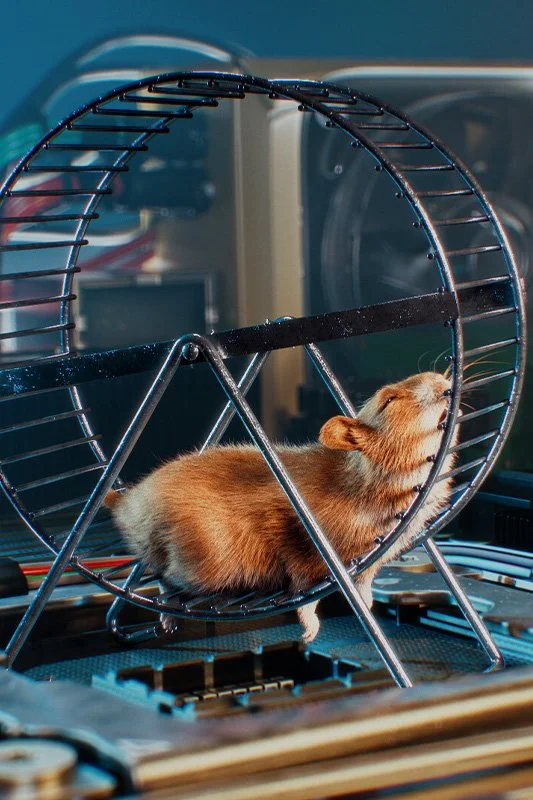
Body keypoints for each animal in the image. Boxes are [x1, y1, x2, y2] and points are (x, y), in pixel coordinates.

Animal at [105, 371, 457, 642]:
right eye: (389, 401)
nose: (441, 379)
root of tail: (128, 502)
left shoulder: (371, 559)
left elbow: (365, 582)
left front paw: (368, 603)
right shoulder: (303, 547)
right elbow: (305, 593)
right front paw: (310, 631)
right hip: (202, 564)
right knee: (164, 578)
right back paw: (167, 614)